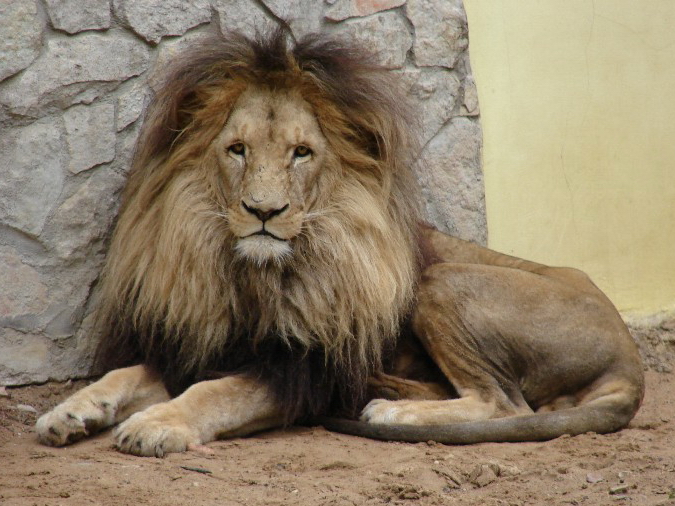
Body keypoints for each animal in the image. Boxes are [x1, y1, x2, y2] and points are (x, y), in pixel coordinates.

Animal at [36, 30, 644, 457]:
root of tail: (629, 362)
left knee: (506, 405)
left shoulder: (298, 371)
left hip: (441, 280)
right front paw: (69, 412)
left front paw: (156, 426)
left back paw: (392, 412)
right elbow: (124, 373)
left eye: (301, 153)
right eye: (237, 150)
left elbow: (213, 395)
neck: (251, 280)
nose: (264, 212)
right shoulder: (200, 346)